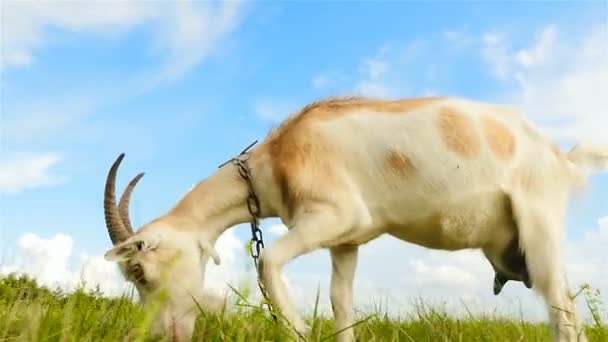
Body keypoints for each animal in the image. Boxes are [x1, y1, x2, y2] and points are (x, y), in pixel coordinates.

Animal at [102, 96, 604, 342]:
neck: (279, 157)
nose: (163, 334)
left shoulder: (331, 215)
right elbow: (342, 305)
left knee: (564, 315)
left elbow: (269, 262)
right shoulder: (346, 241)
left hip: (539, 228)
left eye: (139, 271)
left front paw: (298, 329)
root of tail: (560, 157)